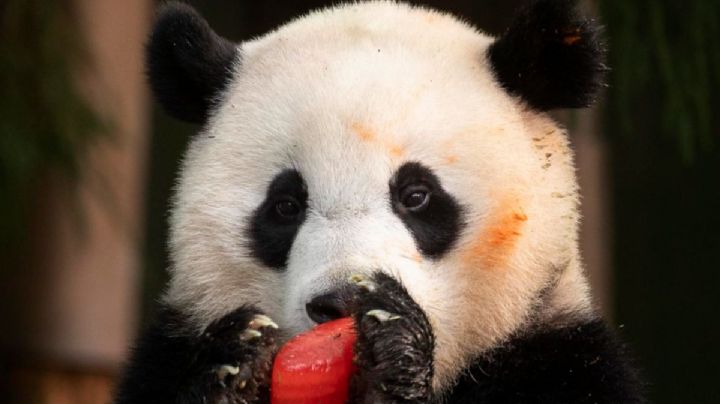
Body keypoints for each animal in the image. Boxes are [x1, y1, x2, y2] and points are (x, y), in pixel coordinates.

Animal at [116, 0, 644, 403]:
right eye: (286, 205)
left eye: (416, 196)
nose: (340, 302)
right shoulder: (166, 352)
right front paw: (234, 361)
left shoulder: (559, 357)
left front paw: (393, 349)